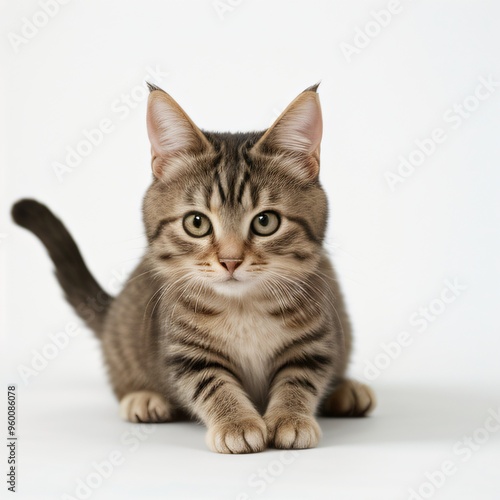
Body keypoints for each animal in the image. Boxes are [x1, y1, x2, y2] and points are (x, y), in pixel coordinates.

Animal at [11, 83, 376, 454]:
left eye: (265, 222)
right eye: (197, 223)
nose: (231, 260)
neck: (243, 307)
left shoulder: (316, 340)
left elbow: (299, 377)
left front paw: (291, 417)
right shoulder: (183, 351)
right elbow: (211, 382)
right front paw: (237, 422)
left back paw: (347, 390)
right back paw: (143, 397)